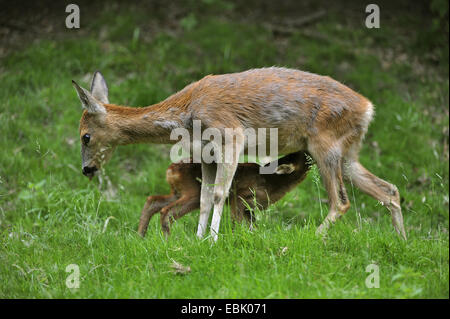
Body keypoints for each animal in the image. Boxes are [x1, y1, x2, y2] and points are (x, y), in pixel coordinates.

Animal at [74, 69, 408, 241]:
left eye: (85, 136)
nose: (87, 169)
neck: (185, 114)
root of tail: (368, 108)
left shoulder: (231, 135)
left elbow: (220, 193)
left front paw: (212, 241)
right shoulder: (206, 153)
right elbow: (205, 197)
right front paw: (198, 240)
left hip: (325, 145)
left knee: (341, 201)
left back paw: (312, 237)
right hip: (348, 152)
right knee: (389, 190)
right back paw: (402, 240)